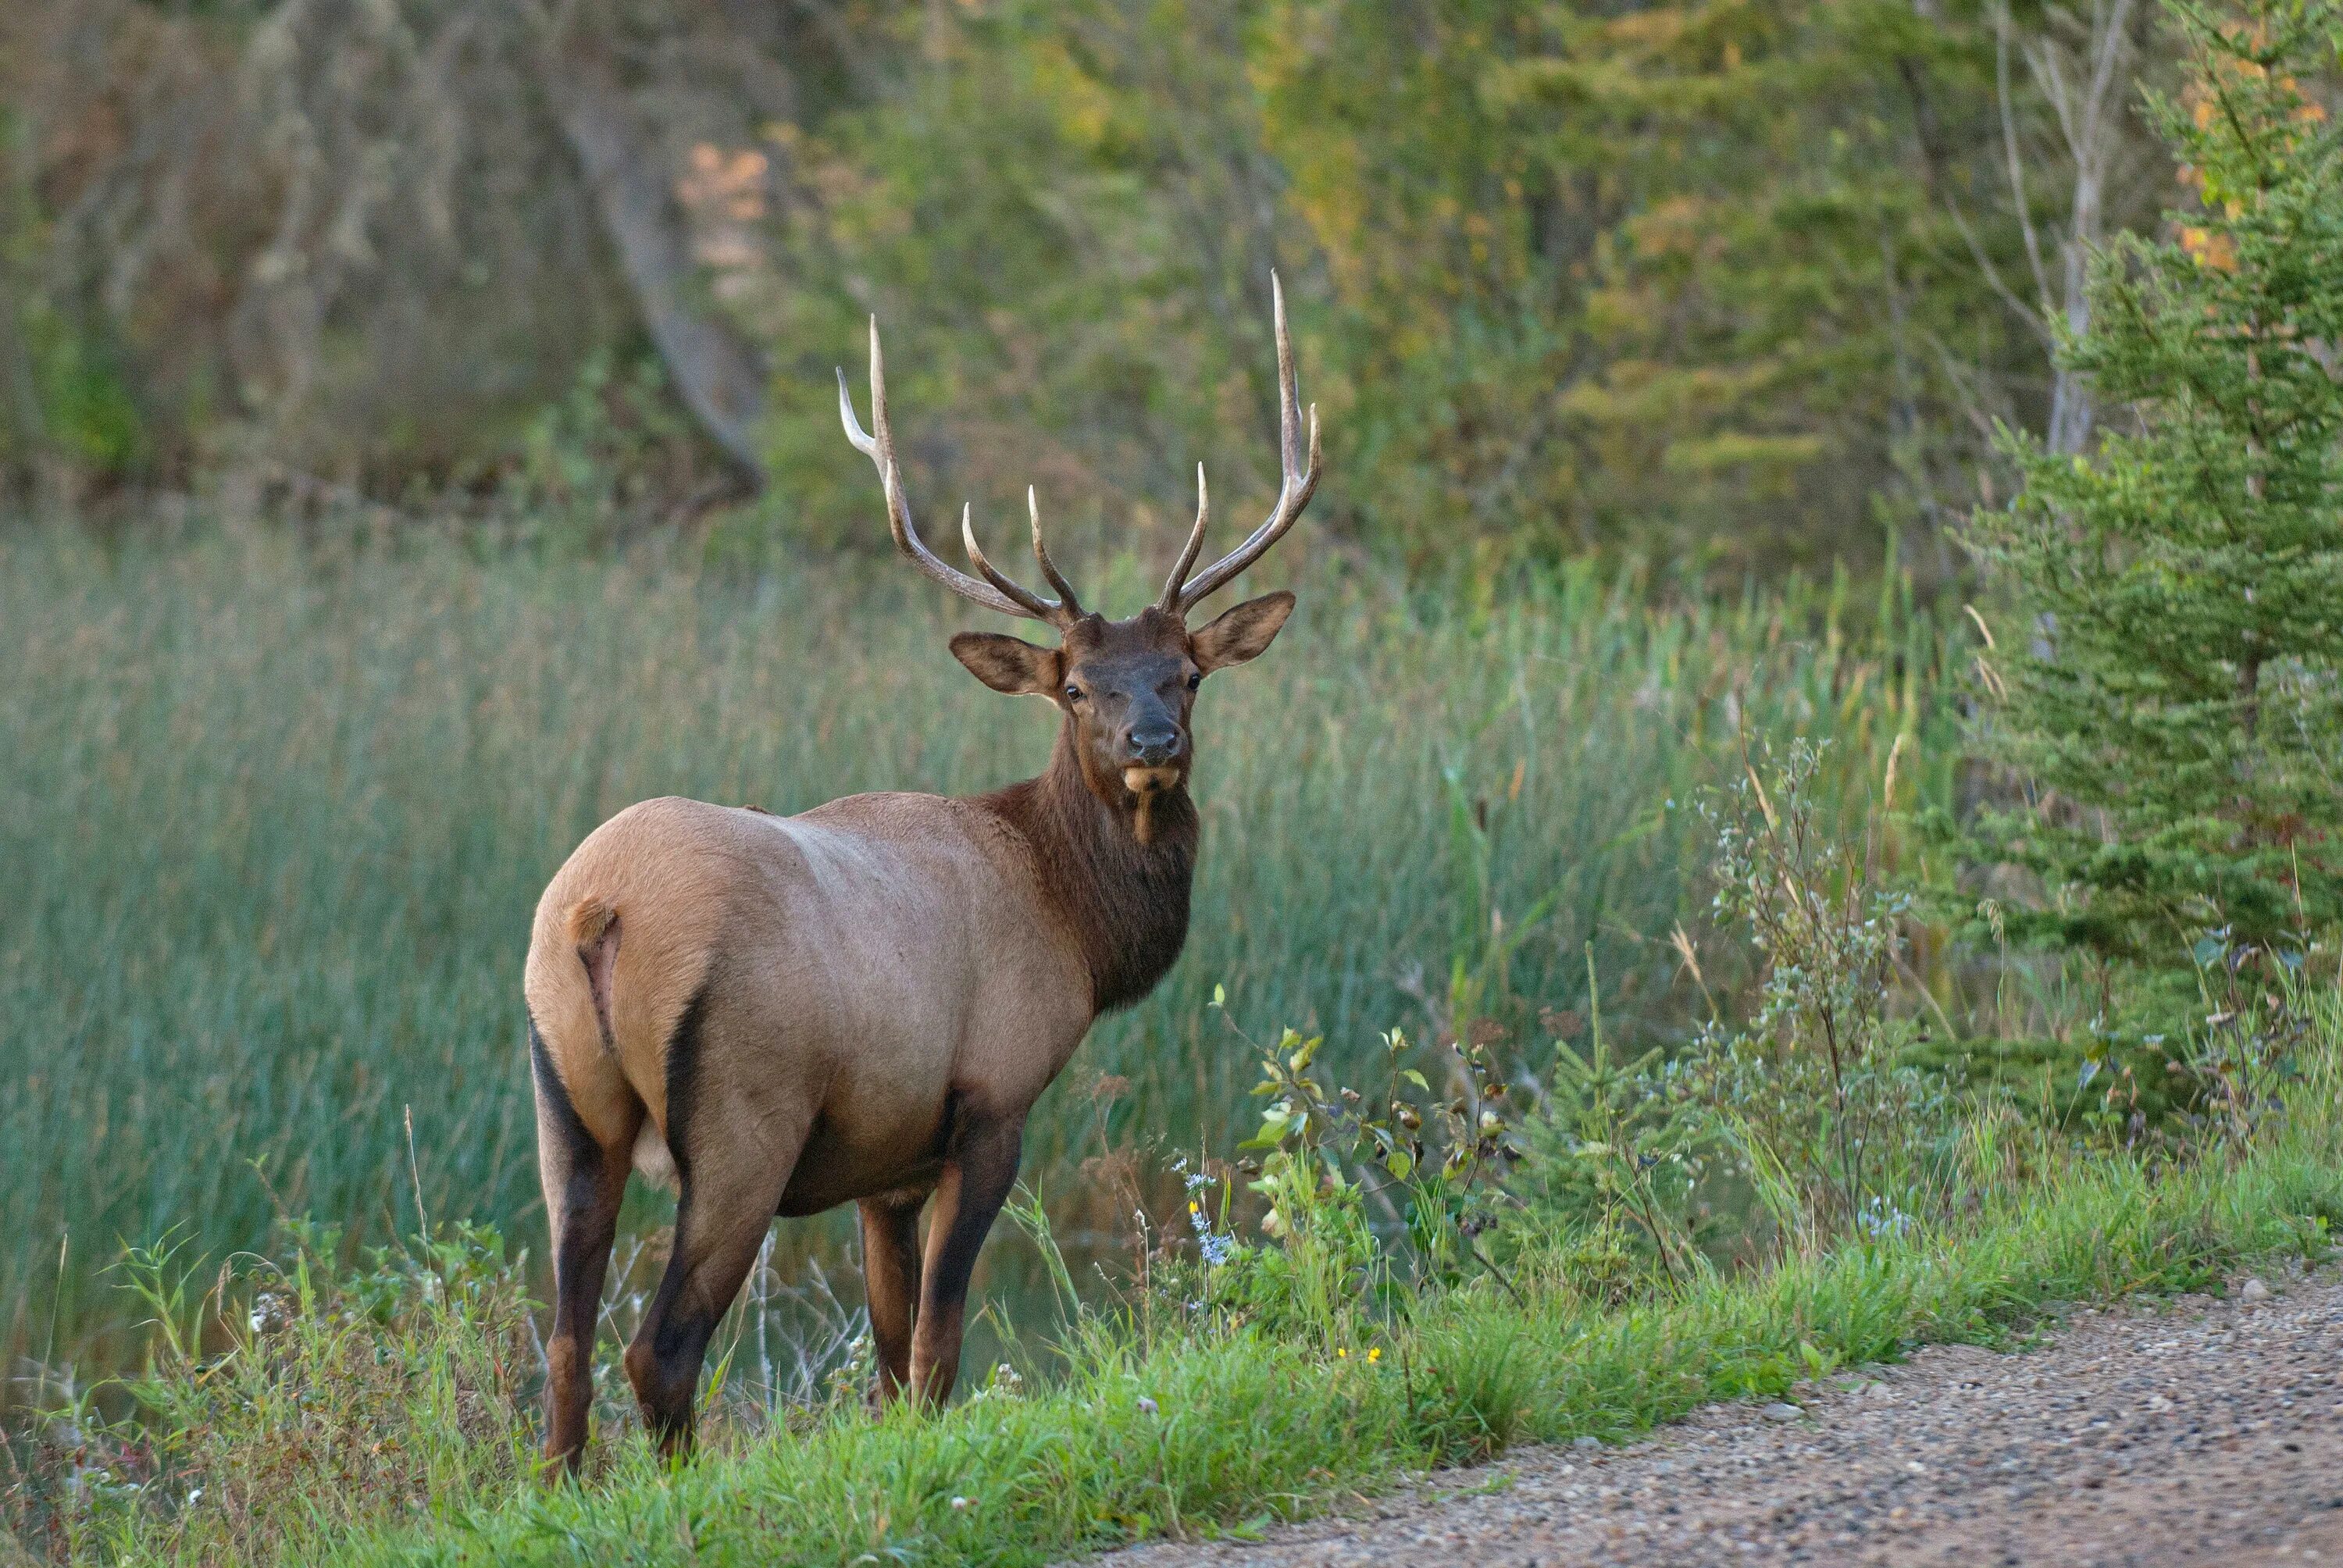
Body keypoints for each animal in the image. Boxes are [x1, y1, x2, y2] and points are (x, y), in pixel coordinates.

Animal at [525, 275, 1321, 1462]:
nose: (1153, 743)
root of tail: (597, 910)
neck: (1073, 922)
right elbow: (940, 1348)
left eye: (1186, 674)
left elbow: (890, 1357)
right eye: (1075, 686)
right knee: (658, 1349)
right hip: (745, 1117)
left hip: (565, 1106)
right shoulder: (992, 1099)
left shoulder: (884, 1166)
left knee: (565, 1349)